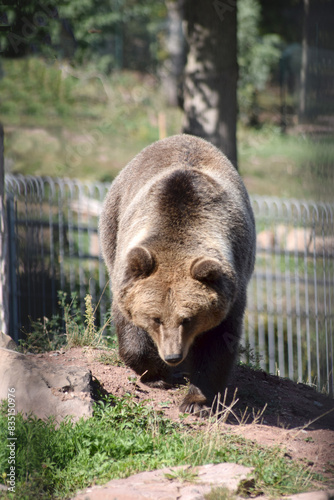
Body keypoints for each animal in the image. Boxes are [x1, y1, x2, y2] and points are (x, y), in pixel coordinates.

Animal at [99, 133, 256, 414]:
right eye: (155, 318)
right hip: (112, 220)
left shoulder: (232, 286)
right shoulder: (126, 276)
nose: (173, 356)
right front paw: (158, 375)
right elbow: (130, 330)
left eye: (188, 318)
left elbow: (218, 342)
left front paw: (197, 401)